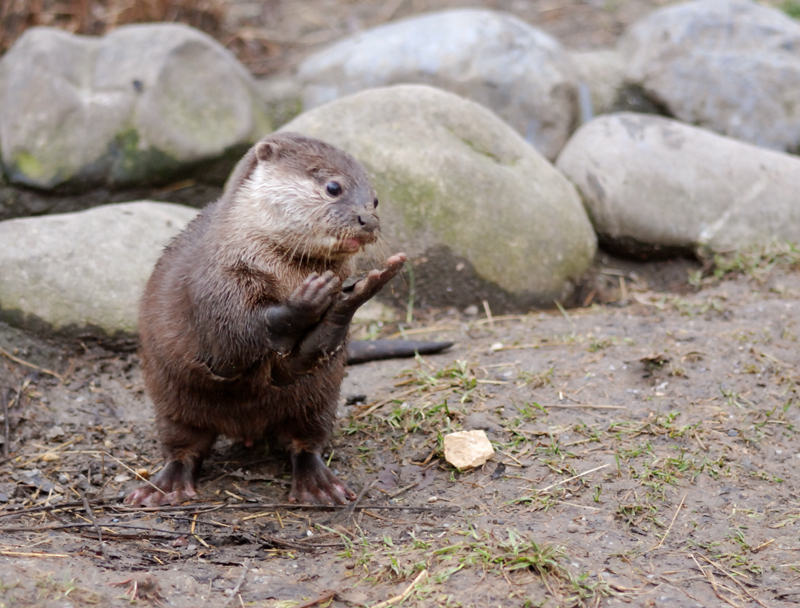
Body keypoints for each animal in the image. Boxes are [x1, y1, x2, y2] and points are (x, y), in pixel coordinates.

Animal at [129, 134, 410, 508]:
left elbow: (294, 365)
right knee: (183, 446)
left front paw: (349, 299)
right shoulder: (216, 285)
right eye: (333, 187)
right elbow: (235, 342)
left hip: (319, 400)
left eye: (375, 199)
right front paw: (308, 300)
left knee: (305, 441)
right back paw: (166, 486)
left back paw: (317, 484)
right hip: (171, 402)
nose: (368, 220)